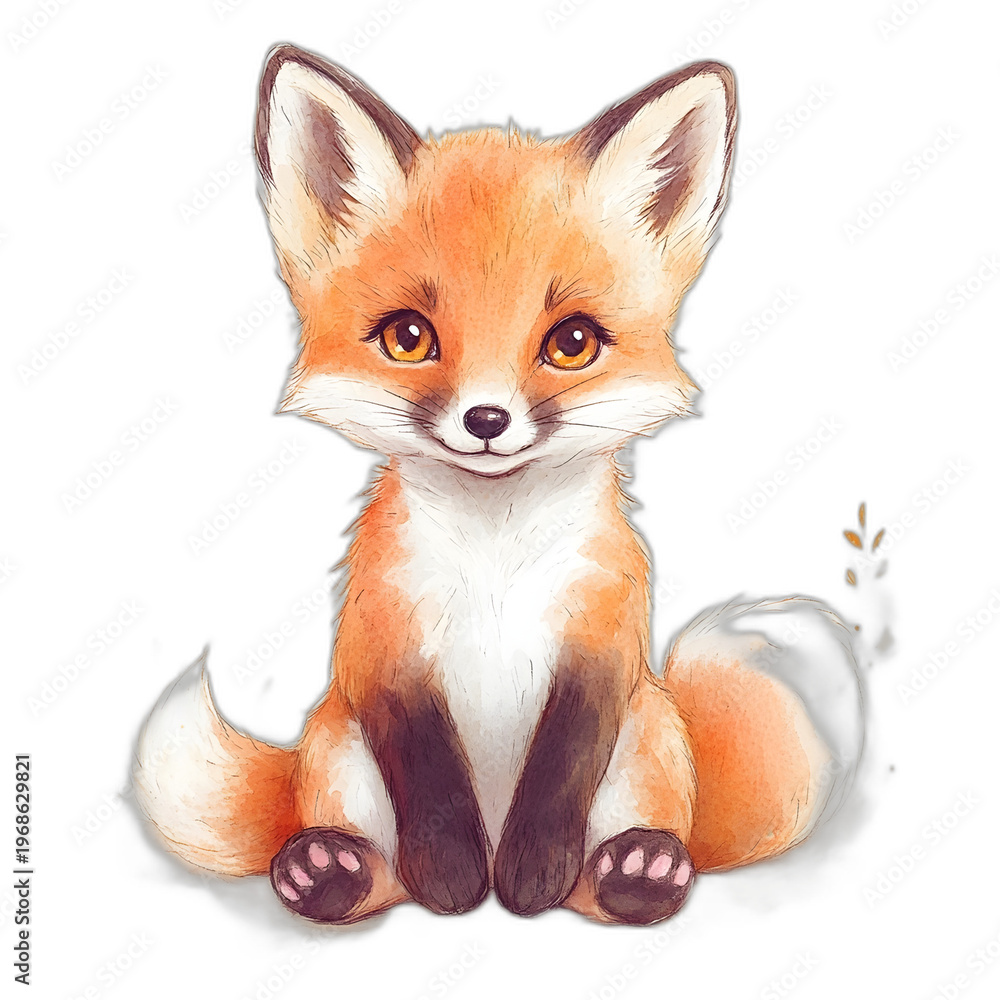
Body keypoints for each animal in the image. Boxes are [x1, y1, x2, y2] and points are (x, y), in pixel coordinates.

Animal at [132, 43, 863, 926]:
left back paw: (639, 871)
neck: (495, 559)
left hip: (647, 737)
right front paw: (453, 880)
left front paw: (528, 879)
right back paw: (328, 870)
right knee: (373, 867)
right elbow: (428, 776)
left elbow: (561, 770)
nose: (486, 418)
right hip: (340, 749)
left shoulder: (602, 642)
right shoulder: (383, 644)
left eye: (572, 342)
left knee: (610, 870)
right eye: (408, 338)